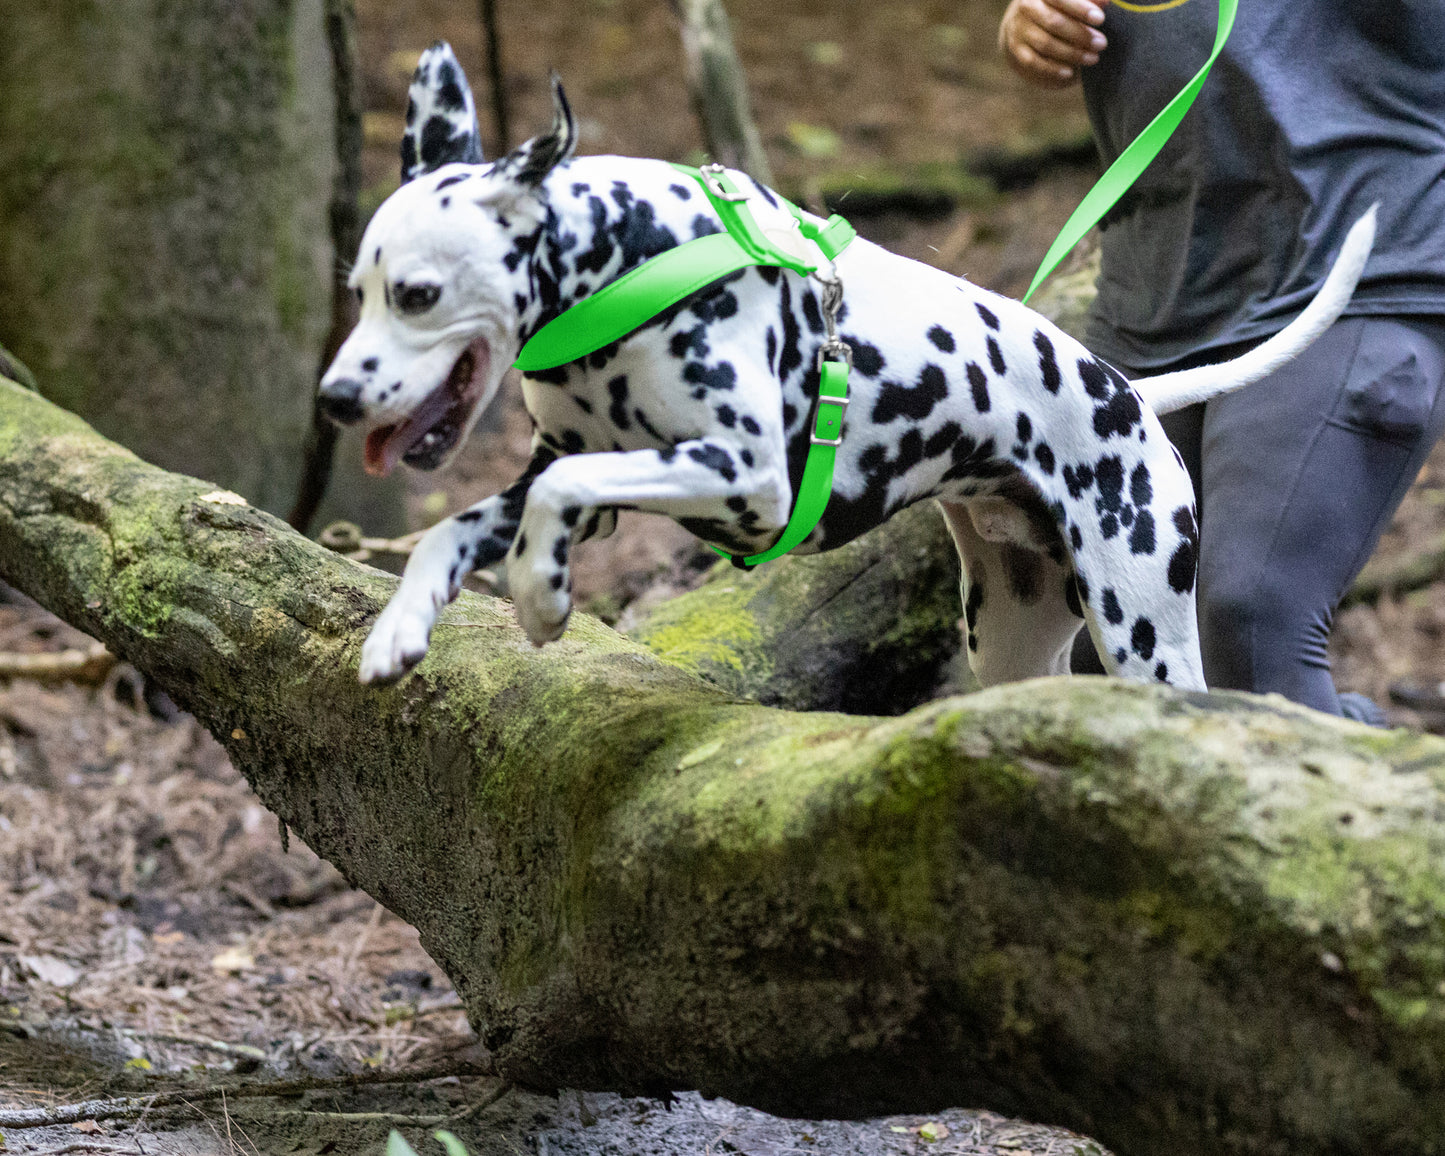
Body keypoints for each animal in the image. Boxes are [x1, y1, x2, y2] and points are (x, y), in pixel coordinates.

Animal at [325, 45, 1375, 690]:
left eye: (416, 294)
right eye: (358, 290)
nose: (335, 398)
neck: (630, 255)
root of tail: (1129, 392)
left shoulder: (744, 476)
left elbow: (557, 495)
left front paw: (543, 601)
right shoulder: (576, 474)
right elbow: (457, 525)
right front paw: (400, 628)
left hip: (1143, 627)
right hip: (1011, 636)